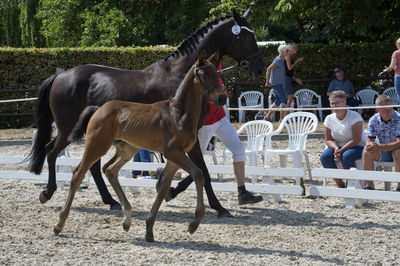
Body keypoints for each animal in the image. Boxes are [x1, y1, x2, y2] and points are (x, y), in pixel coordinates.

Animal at [28, 8, 266, 218]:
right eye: (246, 38)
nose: (260, 69)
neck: (181, 75)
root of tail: (60, 76)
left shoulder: (191, 136)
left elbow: (200, 169)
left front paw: (170, 188)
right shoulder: (190, 137)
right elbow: (203, 171)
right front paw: (216, 206)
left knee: (91, 164)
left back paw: (111, 201)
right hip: (69, 129)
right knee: (52, 151)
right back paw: (48, 192)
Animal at [52, 53, 225, 242]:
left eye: (217, 73)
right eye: (204, 74)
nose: (222, 98)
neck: (178, 113)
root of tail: (98, 109)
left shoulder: (175, 158)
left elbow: (164, 187)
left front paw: (149, 230)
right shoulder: (173, 152)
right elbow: (198, 173)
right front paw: (194, 224)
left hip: (127, 149)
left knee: (110, 170)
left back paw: (127, 218)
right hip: (97, 145)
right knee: (78, 173)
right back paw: (59, 224)